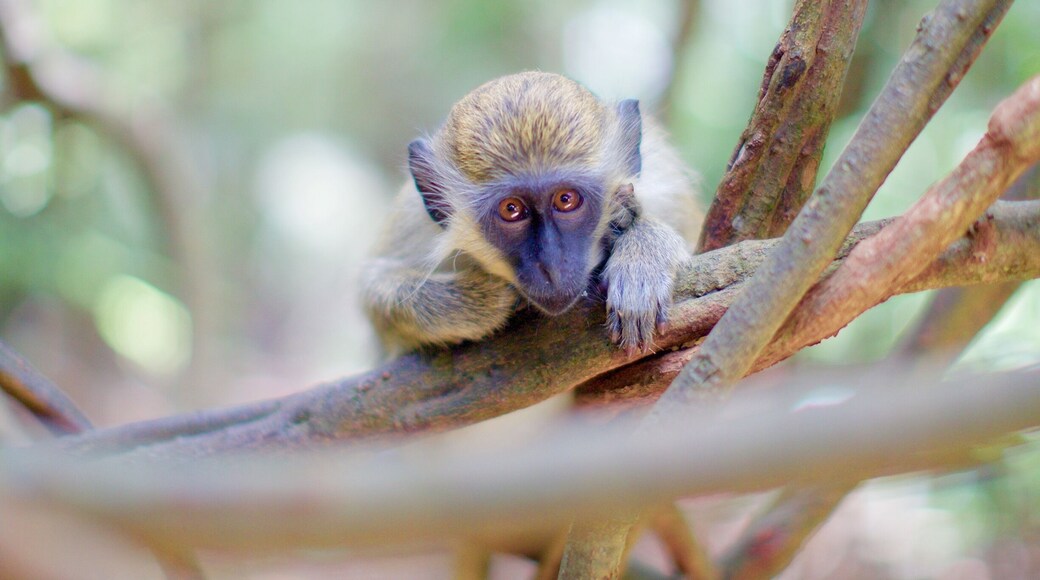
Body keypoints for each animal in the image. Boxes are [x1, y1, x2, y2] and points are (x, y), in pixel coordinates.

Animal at [362, 71, 701, 355]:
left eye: (566, 199)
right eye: (511, 209)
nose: (551, 267)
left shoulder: (665, 184)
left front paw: (641, 254)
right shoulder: (413, 223)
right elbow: (374, 297)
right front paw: (484, 300)